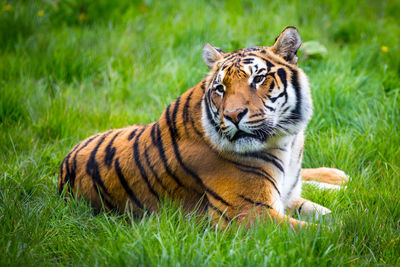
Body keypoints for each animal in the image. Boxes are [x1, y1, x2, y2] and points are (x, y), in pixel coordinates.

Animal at [57, 27, 348, 230]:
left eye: (258, 78)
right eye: (220, 88)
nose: (233, 115)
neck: (286, 140)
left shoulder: (285, 197)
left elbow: (326, 214)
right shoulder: (247, 213)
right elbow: (324, 231)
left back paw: (338, 177)